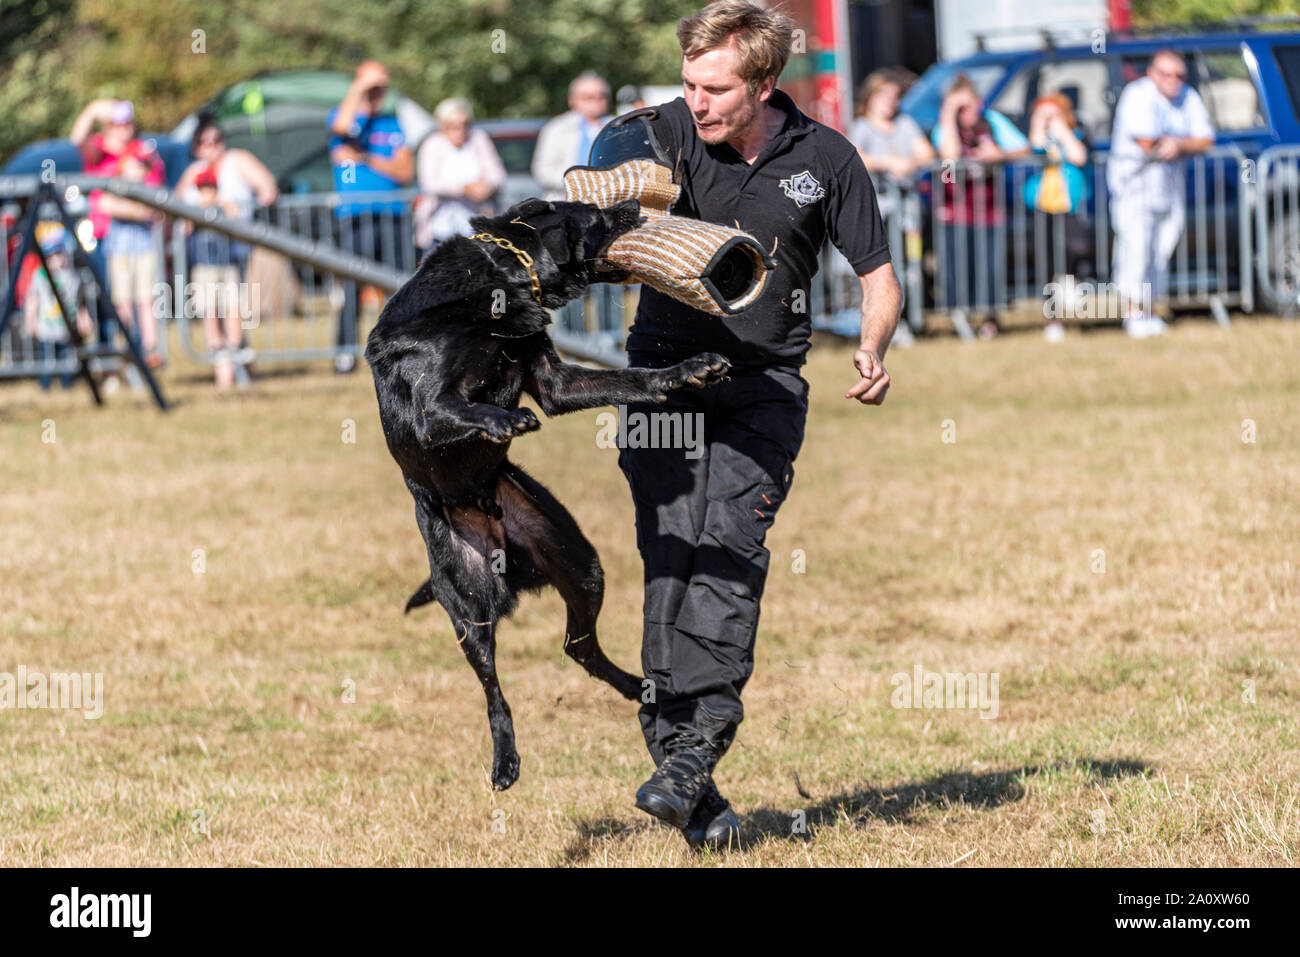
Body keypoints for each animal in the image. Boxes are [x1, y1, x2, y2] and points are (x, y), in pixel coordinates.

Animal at [366, 197, 733, 790]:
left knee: (578, 648)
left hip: (579, 563)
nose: (634, 204)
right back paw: (504, 760)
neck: (502, 278)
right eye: (595, 214)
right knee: (494, 692)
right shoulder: (430, 408)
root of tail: (492, 524)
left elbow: (634, 378)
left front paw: (690, 368)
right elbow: (457, 408)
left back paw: (639, 689)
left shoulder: (557, 382)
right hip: (469, 607)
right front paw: (505, 419)